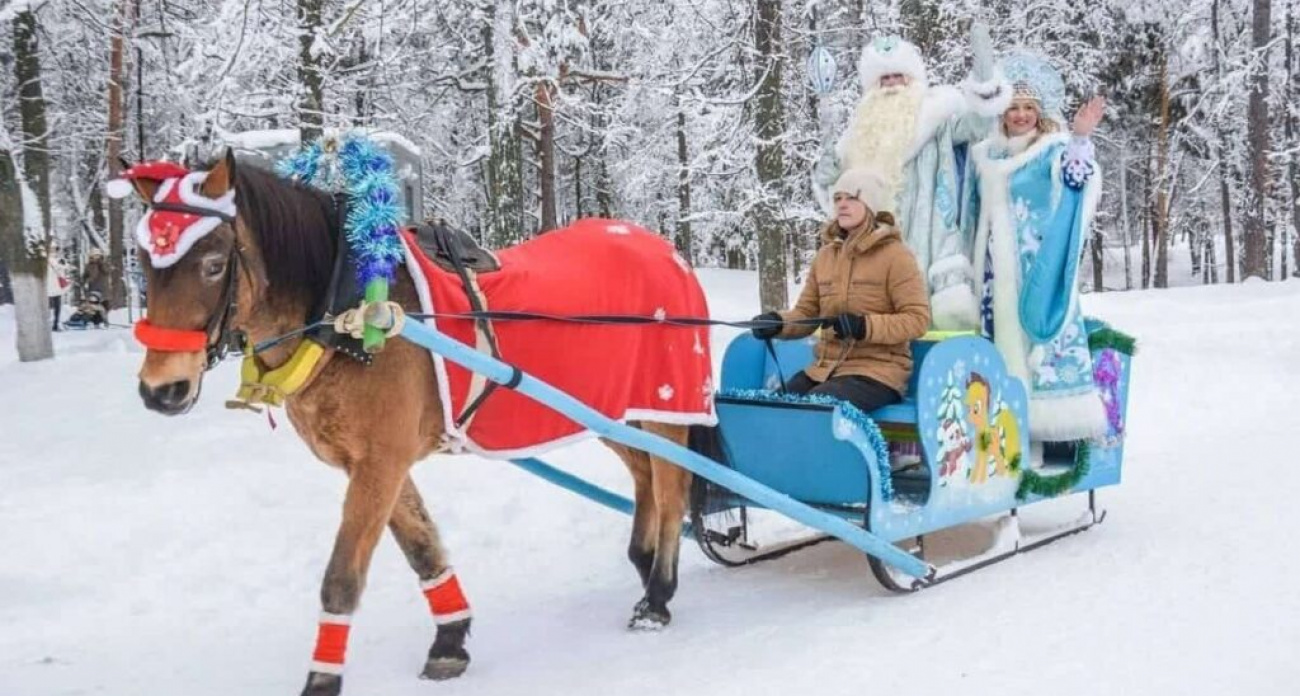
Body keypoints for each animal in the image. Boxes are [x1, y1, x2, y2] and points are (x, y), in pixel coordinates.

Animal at [125, 152, 702, 696]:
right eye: (146, 262)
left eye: (213, 264)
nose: (161, 389)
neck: (350, 315)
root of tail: (665, 249)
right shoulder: (373, 462)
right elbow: (423, 549)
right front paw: (450, 639)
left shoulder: (380, 462)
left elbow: (342, 578)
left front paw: (322, 680)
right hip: (609, 412)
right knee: (646, 474)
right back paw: (644, 558)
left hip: (664, 406)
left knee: (672, 487)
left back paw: (658, 593)